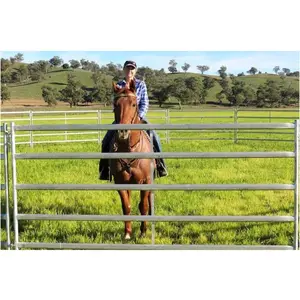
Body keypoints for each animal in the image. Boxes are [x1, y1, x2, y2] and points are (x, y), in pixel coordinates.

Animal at [108, 79, 155, 239]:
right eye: (115, 105)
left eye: (134, 104)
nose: (122, 132)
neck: (129, 150)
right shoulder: (120, 182)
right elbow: (126, 206)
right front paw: (127, 233)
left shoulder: (146, 181)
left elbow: (143, 206)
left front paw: (143, 232)